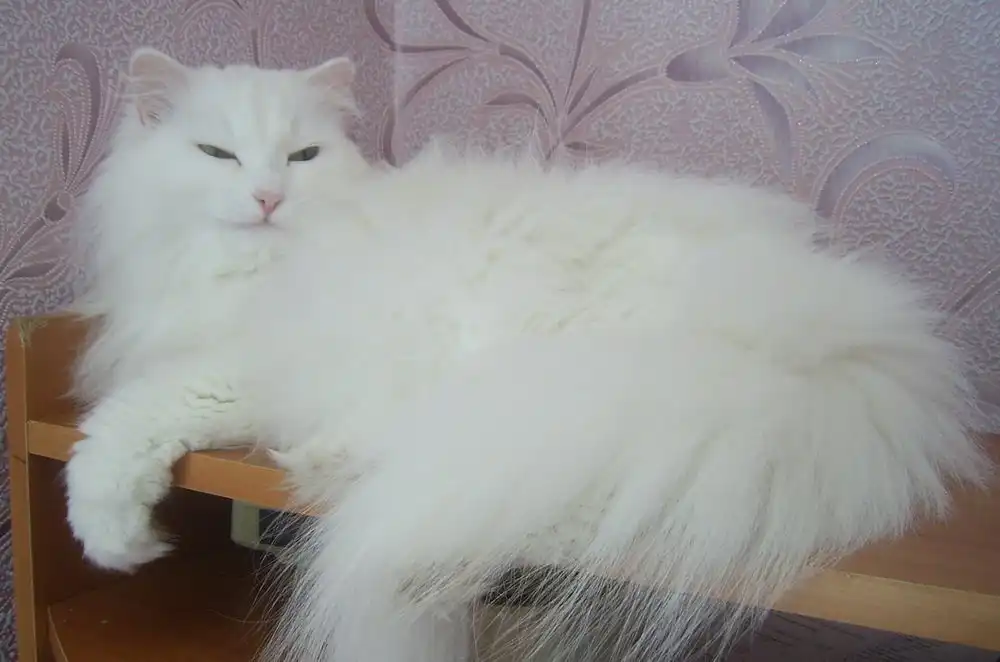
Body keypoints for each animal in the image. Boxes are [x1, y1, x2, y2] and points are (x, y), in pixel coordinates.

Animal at [64, 47, 369, 572]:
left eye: (303, 156)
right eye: (217, 153)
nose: (269, 197)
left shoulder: (238, 372)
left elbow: (120, 422)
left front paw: (116, 541)